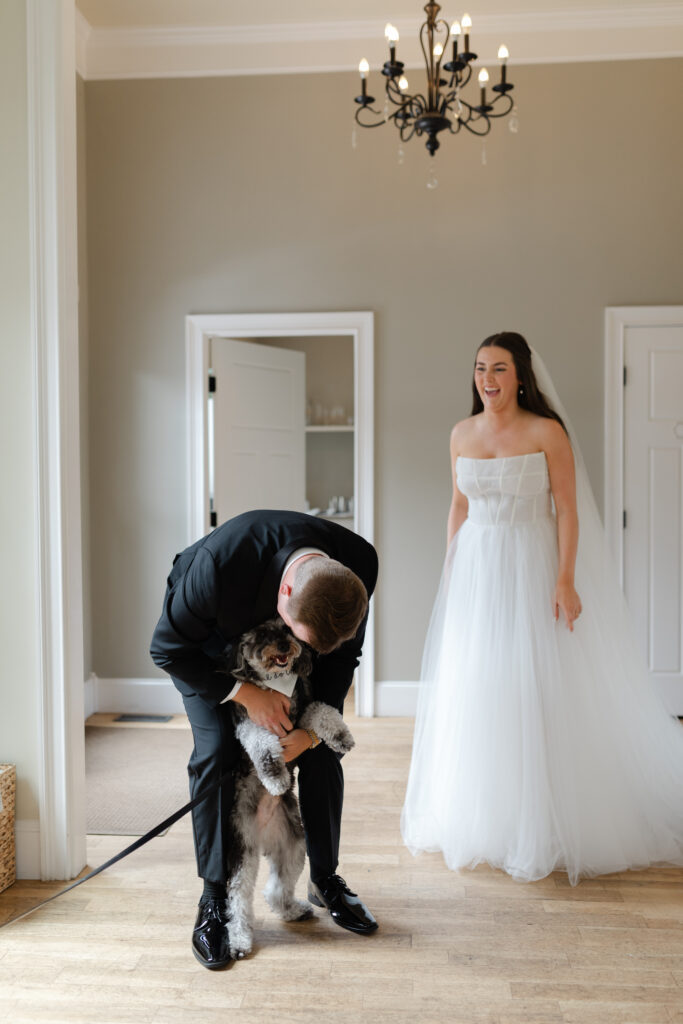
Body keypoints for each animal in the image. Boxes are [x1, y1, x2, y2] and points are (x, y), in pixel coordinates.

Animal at [225, 614, 356, 958]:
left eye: (286, 629)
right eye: (261, 635)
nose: (284, 646)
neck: (277, 683)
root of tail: (263, 836)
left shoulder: (304, 709)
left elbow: (324, 711)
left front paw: (341, 737)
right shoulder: (251, 724)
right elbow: (264, 746)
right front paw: (275, 778)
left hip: (294, 846)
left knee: (275, 890)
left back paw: (294, 910)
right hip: (242, 852)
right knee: (238, 899)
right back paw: (239, 940)